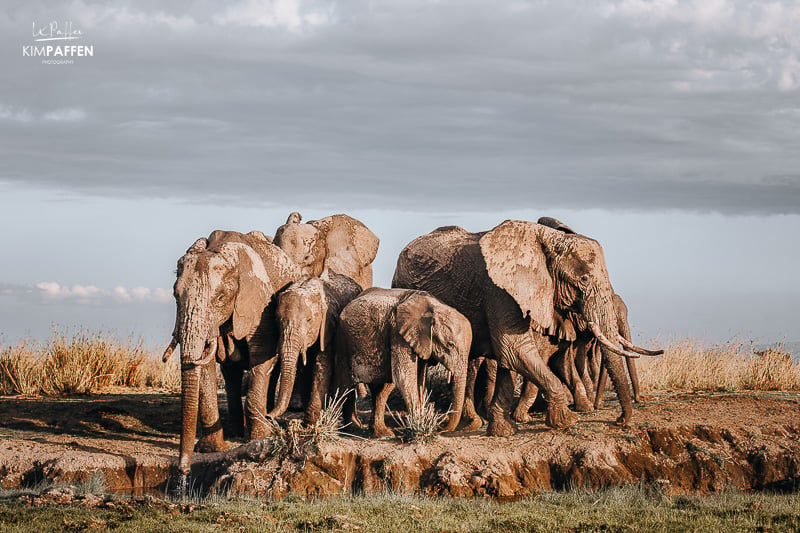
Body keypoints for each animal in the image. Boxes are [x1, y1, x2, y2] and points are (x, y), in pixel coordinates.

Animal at [170, 229, 302, 482]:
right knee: (230, 373)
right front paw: (211, 449)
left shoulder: (260, 303)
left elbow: (261, 355)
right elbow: (207, 364)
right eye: (175, 296)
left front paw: (259, 438)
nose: (183, 472)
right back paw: (236, 430)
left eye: (220, 298)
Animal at [274, 270, 364, 424]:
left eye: (309, 320)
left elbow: (322, 366)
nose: (268, 415)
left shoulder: (328, 327)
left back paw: (353, 424)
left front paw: (310, 423)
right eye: (278, 320)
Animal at [334, 288, 472, 438]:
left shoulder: (420, 341)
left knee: (381, 389)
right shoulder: (398, 333)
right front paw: (420, 427)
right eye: (449, 344)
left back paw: (380, 433)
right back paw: (339, 430)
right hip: (344, 343)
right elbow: (404, 377)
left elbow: (419, 379)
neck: (435, 306)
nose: (440, 428)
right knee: (343, 386)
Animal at [390, 221, 660, 436]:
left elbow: (509, 359)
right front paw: (566, 420)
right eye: (583, 280)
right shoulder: (499, 291)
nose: (618, 422)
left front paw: (504, 430)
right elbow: (515, 350)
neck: (547, 240)